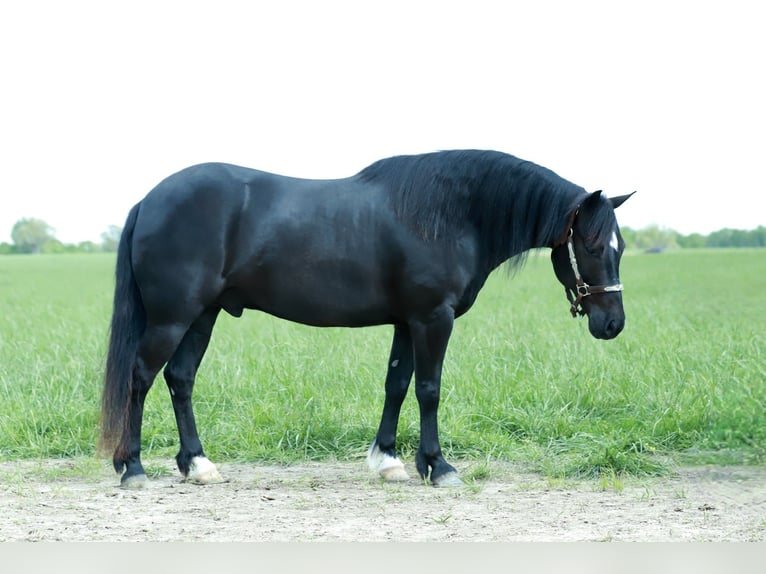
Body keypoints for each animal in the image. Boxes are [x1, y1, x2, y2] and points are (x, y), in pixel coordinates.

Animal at [99, 149, 633, 488]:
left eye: (620, 246)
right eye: (590, 245)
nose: (613, 324)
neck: (452, 215)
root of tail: (149, 200)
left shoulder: (406, 321)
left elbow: (396, 384)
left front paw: (389, 461)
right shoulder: (433, 318)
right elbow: (429, 389)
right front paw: (439, 467)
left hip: (202, 316)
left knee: (180, 378)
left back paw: (197, 465)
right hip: (172, 318)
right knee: (140, 378)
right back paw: (133, 468)